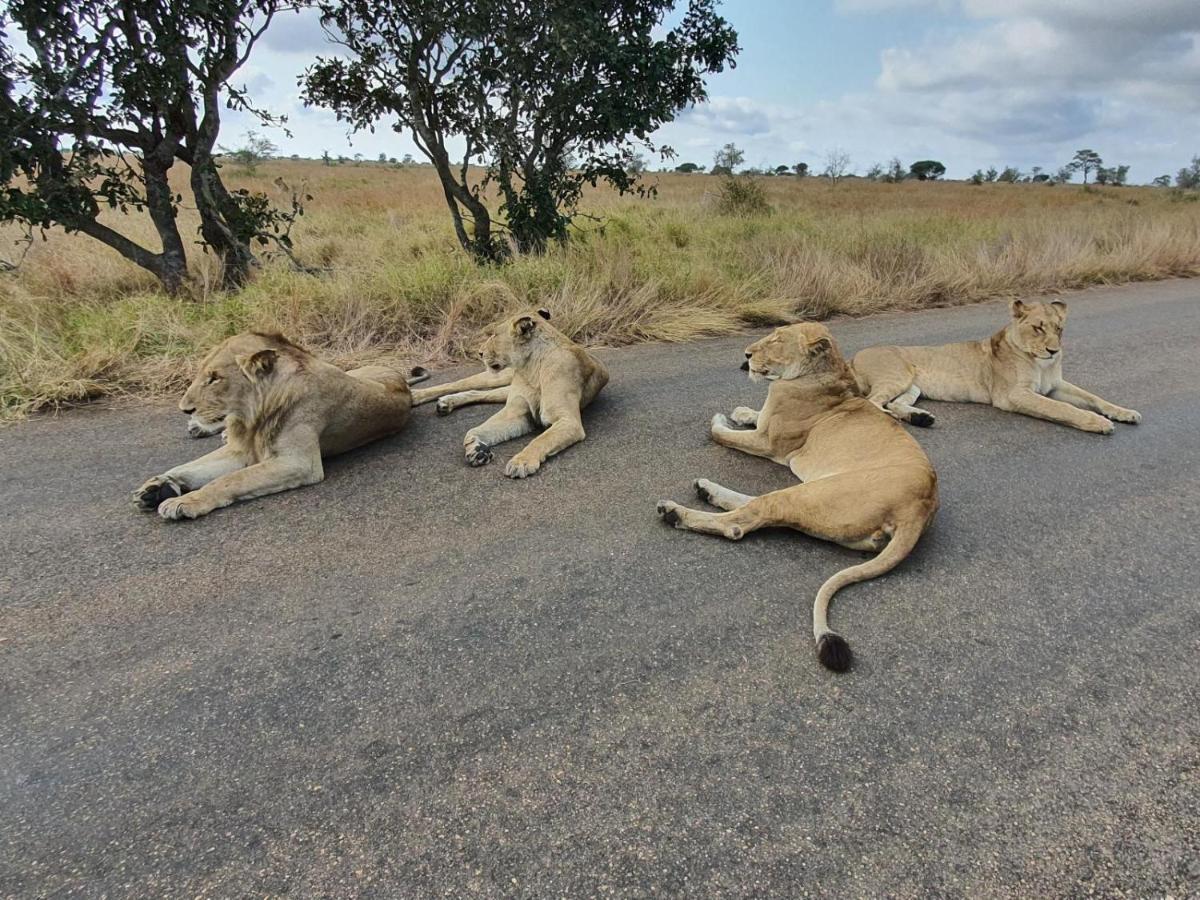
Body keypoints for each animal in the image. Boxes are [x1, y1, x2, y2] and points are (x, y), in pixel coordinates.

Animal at [132, 333, 427, 520]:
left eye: (214, 378)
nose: (184, 409)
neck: (252, 416)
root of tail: (403, 384)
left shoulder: (298, 463)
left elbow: (230, 479)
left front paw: (184, 501)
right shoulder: (242, 450)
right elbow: (193, 466)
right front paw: (156, 487)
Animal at [657, 321, 936, 672]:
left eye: (777, 339)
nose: (746, 355)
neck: (822, 375)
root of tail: (920, 507)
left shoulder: (768, 443)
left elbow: (719, 433)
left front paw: (721, 420)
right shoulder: (766, 429)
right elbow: (752, 415)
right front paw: (741, 411)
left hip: (813, 492)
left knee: (743, 521)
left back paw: (676, 511)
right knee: (754, 508)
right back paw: (705, 490)